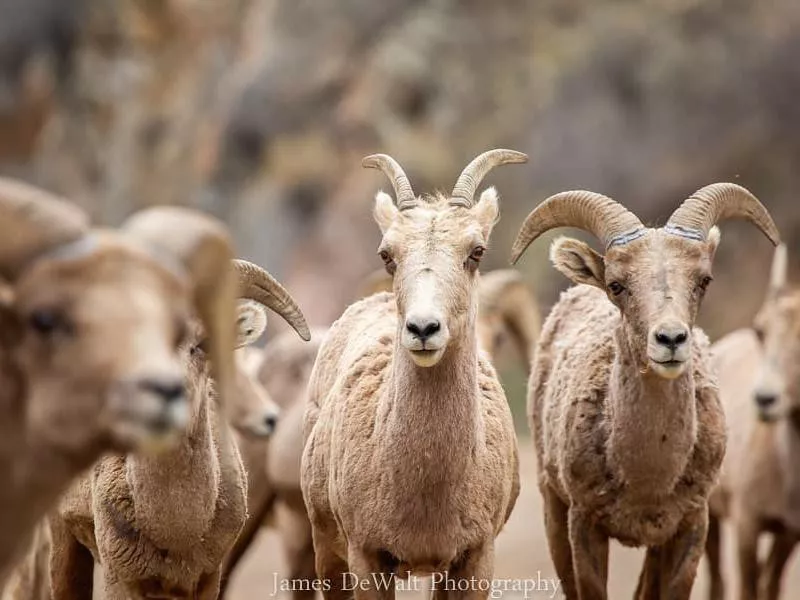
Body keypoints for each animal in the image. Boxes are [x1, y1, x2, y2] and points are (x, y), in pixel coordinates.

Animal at [300, 149, 524, 596]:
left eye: (477, 251)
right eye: (387, 255)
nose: (423, 329)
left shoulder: (473, 559)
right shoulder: (367, 557)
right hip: (327, 552)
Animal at [512, 183, 780, 600]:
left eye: (704, 280)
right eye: (617, 285)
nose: (670, 339)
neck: (647, 478)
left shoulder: (689, 527)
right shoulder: (584, 525)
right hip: (552, 507)